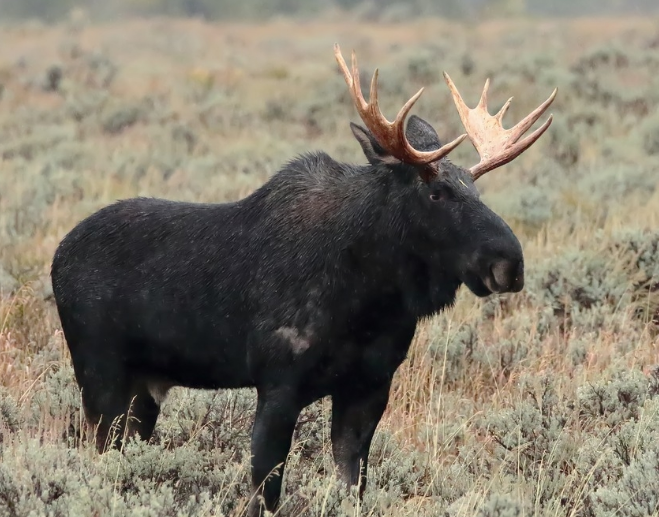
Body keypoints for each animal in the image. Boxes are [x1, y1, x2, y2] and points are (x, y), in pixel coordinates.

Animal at [50, 45, 556, 516]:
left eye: (475, 187)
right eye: (436, 191)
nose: (509, 263)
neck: (370, 299)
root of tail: (58, 257)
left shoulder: (369, 386)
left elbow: (352, 484)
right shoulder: (278, 385)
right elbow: (265, 489)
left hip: (145, 388)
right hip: (100, 377)